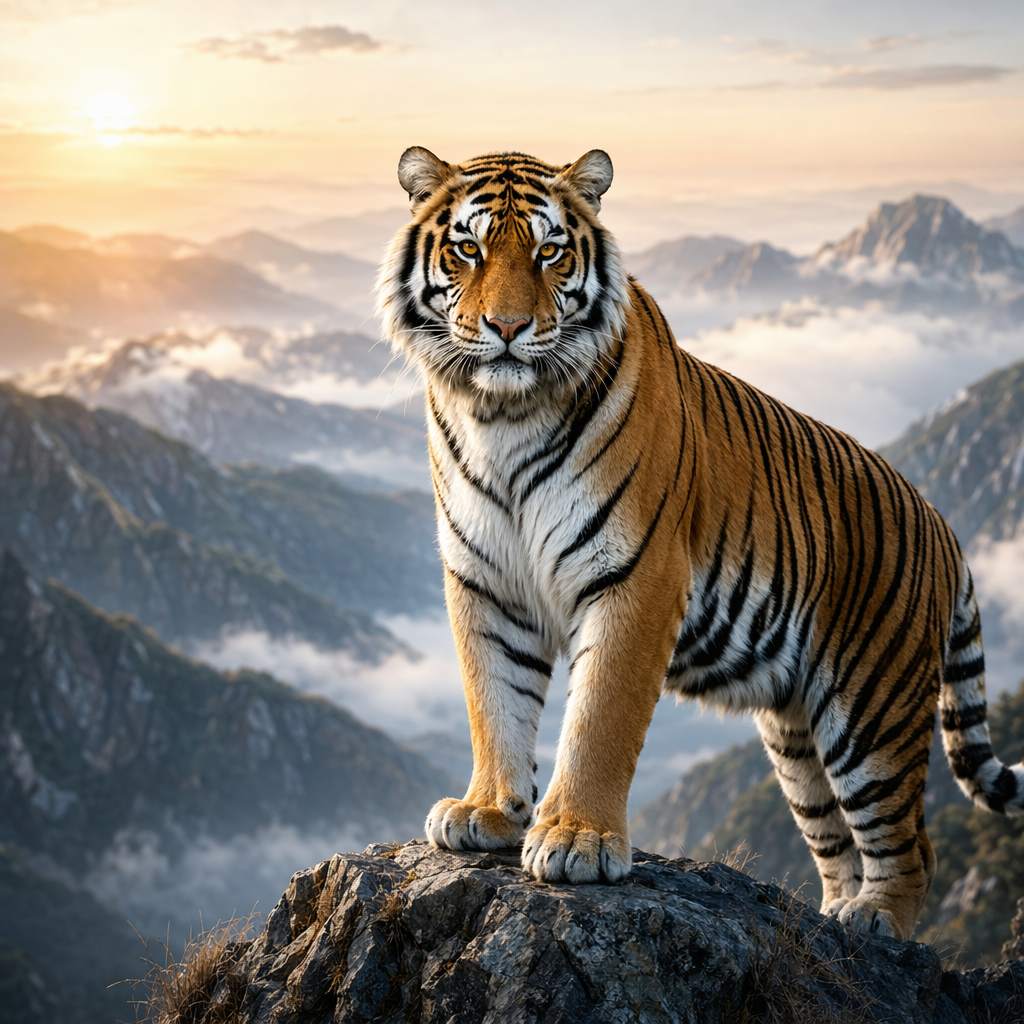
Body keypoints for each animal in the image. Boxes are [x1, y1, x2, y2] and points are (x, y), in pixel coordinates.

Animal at [375, 145, 1022, 940]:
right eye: (468, 249)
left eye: (549, 251)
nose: (507, 326)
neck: (503, 416)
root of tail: (943, 524)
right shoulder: (485, 582)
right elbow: (493, 701)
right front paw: (487, 812)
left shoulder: (636, 575)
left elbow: (601, 716)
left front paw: (576, 840)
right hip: (797, 739)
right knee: (835, 839)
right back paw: (834, 914)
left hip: (872, 710)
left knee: (912, 843)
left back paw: (873, 919)